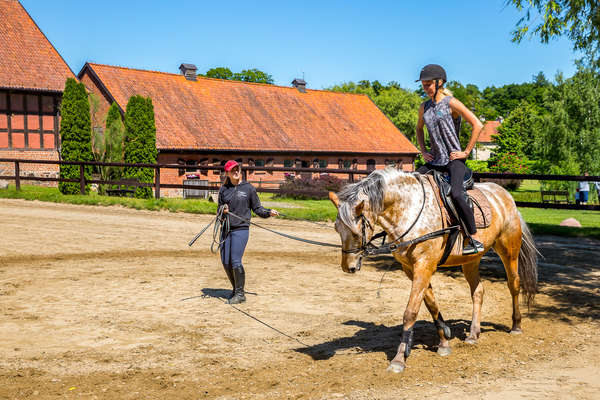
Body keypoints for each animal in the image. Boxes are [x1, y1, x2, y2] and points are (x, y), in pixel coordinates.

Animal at [328, 167, 540, 374]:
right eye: (337, 229)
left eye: (356, 231)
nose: (348, 267)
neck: (409, 209)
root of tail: (505, 195)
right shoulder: (411, 268)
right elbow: (431, 304)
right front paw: (444, 341)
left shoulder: (424, 265)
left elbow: (411, 311)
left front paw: (399, 360)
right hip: (470, 260)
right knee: (478, 292)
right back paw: (473, 334)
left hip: (509, 250)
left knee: (514, 285)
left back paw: (516, 325)